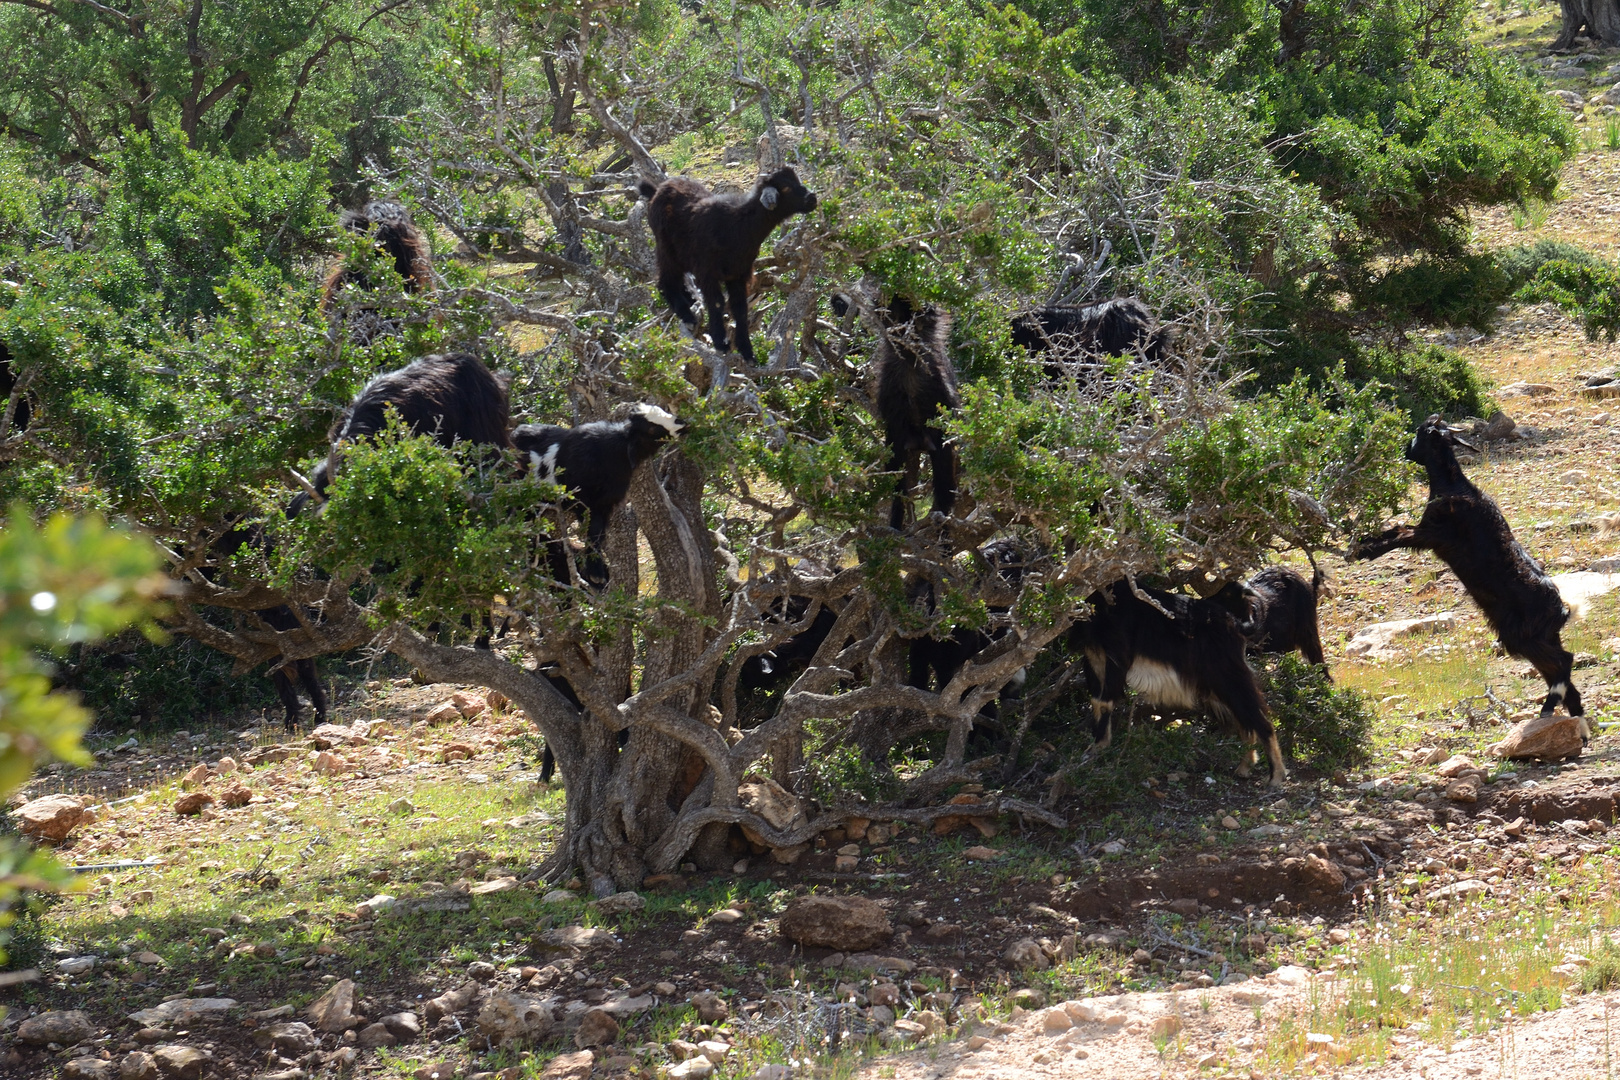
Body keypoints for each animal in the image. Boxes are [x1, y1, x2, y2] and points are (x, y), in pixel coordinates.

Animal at [508, 404, 680, 592]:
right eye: (651, 428)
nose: (682, 424)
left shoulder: (604, 503)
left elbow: (597, 532)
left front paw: (596, 573)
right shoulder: (583, 499)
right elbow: (591, 530)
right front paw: (595, 573)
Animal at [641, 166, 822, 362]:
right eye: (786, 188)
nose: (812, 198)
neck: (737, 225)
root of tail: (657, 190)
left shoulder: (738, 274)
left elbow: (740, 308)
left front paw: (747, 351)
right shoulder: (707, 271)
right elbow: (717, 303)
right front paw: (721, 343)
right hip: (666, 248)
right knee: (665, 281)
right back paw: (687, 316)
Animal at [1069, 582, 1283, 786]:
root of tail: (1235, 625)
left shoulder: (1117, 654)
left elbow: (1104, 701)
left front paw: (1098, 747)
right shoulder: (1094, 655)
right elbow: (1096, 699)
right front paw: (1096, 746)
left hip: (1227, 675)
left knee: (1259, 719)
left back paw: (1276, 777)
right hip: (1216, 686)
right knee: (1244, 721)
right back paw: (1244, 768)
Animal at [1347, 414, 1587, 735]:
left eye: (1422, 432)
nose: (1406, 450)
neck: (1454, 486)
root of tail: (1562, 609)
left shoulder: (1432, 534)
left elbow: (1398, 535)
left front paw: (1362, 551)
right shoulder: (1427, 531)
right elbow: (1395, 530)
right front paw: (1359, 543)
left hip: (1524, 636)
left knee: (1564, 661)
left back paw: (1549, 709)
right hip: (1537, 637)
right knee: (1562, 675)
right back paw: (1577, 728)